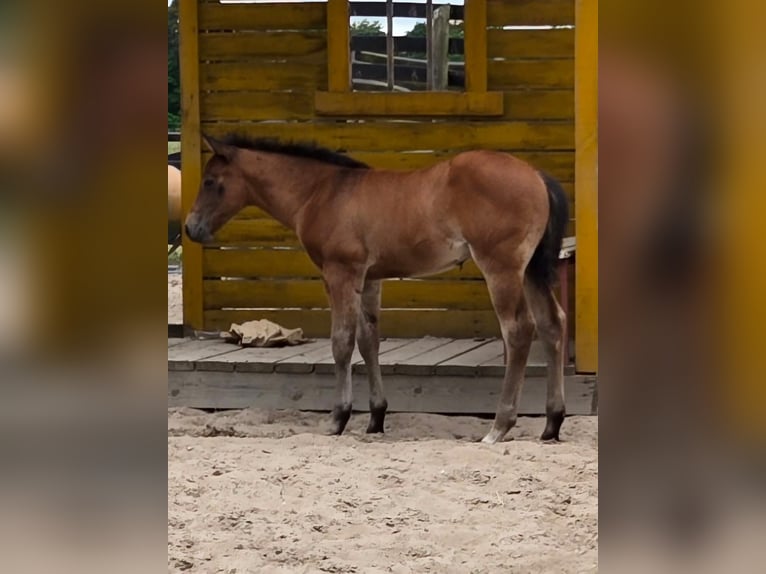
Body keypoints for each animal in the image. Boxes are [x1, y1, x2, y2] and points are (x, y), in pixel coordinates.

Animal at [185, 134, 569, 444]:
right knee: (553, 324)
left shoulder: (340, 273)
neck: (321, 193)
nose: (191, 228)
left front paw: (337, 418)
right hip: (531, 270)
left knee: (518, 330)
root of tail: (537, 175)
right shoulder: (369, 278)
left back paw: (499, 427)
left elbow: (341, 342)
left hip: (501, 267)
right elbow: (369, 340)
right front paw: (376, 418)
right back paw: (552, 423)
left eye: (210, 181)